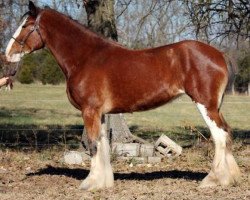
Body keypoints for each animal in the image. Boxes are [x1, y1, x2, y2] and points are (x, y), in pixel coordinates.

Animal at [5, 0, 240, 190]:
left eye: (25, 26)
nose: (7, 54)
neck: (86, 57)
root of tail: (219, 54)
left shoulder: (89, 110)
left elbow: (93, 145)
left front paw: (90, 184)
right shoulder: (99, 113)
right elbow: (102, 145)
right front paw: (104, 182)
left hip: (205, 106)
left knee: (219, 136)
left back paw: (212, 179)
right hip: (214, 107)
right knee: (226, 133)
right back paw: (229, 178)